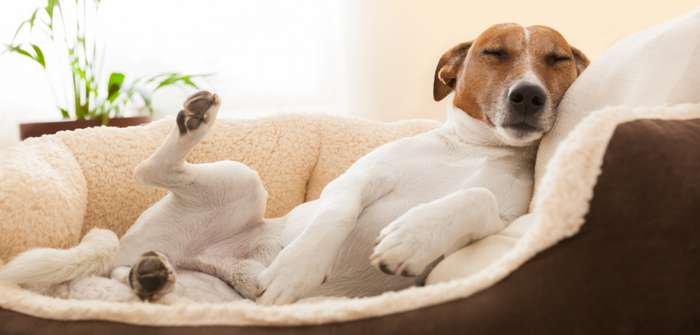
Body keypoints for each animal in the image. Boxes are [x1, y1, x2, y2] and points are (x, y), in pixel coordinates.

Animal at [0, 23, 588, 306]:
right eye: (494, 53)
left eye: (557, 60)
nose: (528, 96)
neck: (474, 149)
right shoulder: (355, 179)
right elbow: (336, 213)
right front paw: (299, 267)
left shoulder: (507, 218)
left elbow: (476, 198)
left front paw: (412, 239)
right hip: (245, 181)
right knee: (150, 172)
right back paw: (194, 122)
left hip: (206, 283)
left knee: (143, 273)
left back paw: (151, 280)